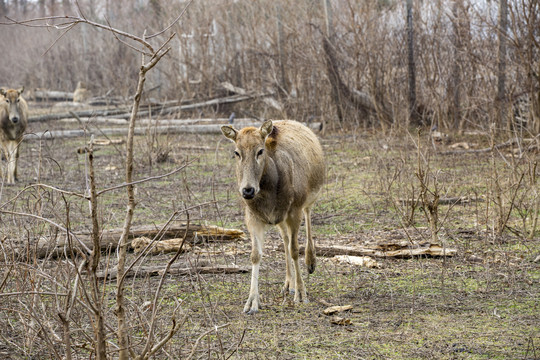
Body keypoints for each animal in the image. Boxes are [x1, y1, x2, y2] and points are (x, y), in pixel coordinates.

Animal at [220, 119, 324, 314]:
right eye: (236, 152)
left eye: (260, 151)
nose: (247, 190)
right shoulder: (252, 217)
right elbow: (255, 255)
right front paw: (252, 302)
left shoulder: (294, 210)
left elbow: (294, 250)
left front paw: (302, 293)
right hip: (280, 218)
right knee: (284, 238)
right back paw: (288, 284)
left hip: (309, 197)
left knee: (307, 218)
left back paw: (310, 262)